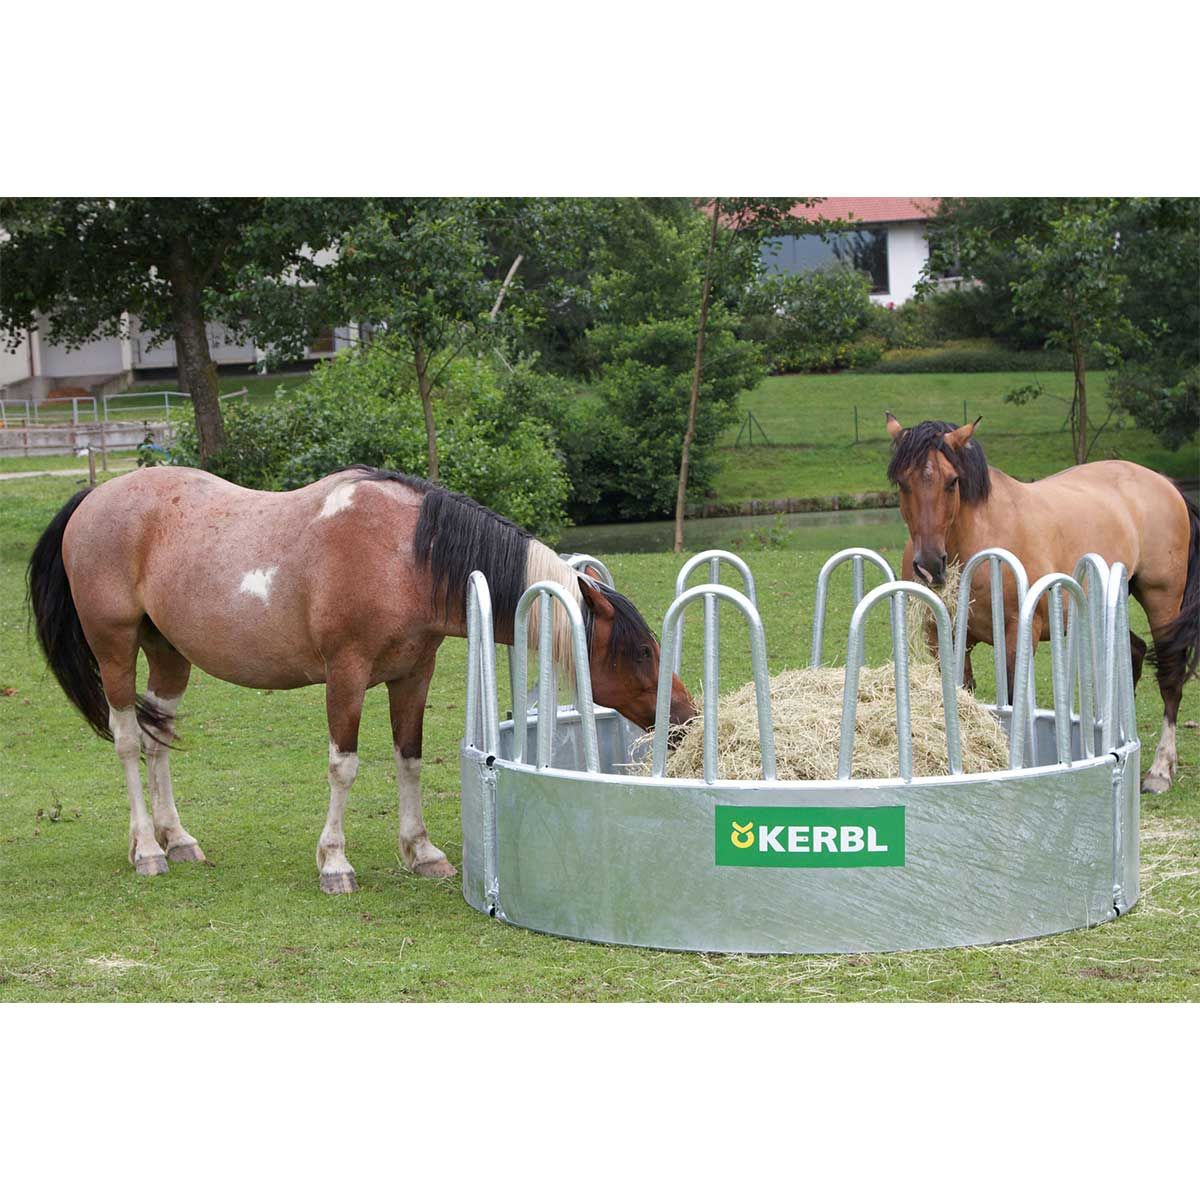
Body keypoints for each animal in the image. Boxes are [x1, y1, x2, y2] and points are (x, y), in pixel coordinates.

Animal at [27, 465, 696, 892]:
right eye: (642, 649)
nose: (685, 716)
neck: (404, 555)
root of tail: (94, 497)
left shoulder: (413, 676)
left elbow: (410, 759)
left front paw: (421, 852)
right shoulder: (345, 676)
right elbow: (343, 766)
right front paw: (334, 863)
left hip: (168, 655)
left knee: (159, 738)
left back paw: (179, 840)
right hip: (115, 649)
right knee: (128, 741)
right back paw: (146, 849)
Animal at [884, 412, 1199, 795]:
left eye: (952, 481)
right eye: (902, 482)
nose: (930, 564)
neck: (980, 540)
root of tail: (1166, 484)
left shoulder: (1017, 636)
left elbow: (1011, 703)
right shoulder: (943, 636)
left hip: (1161, 598)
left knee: (1170, 675)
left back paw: (1159, 770)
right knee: (1136, 652)